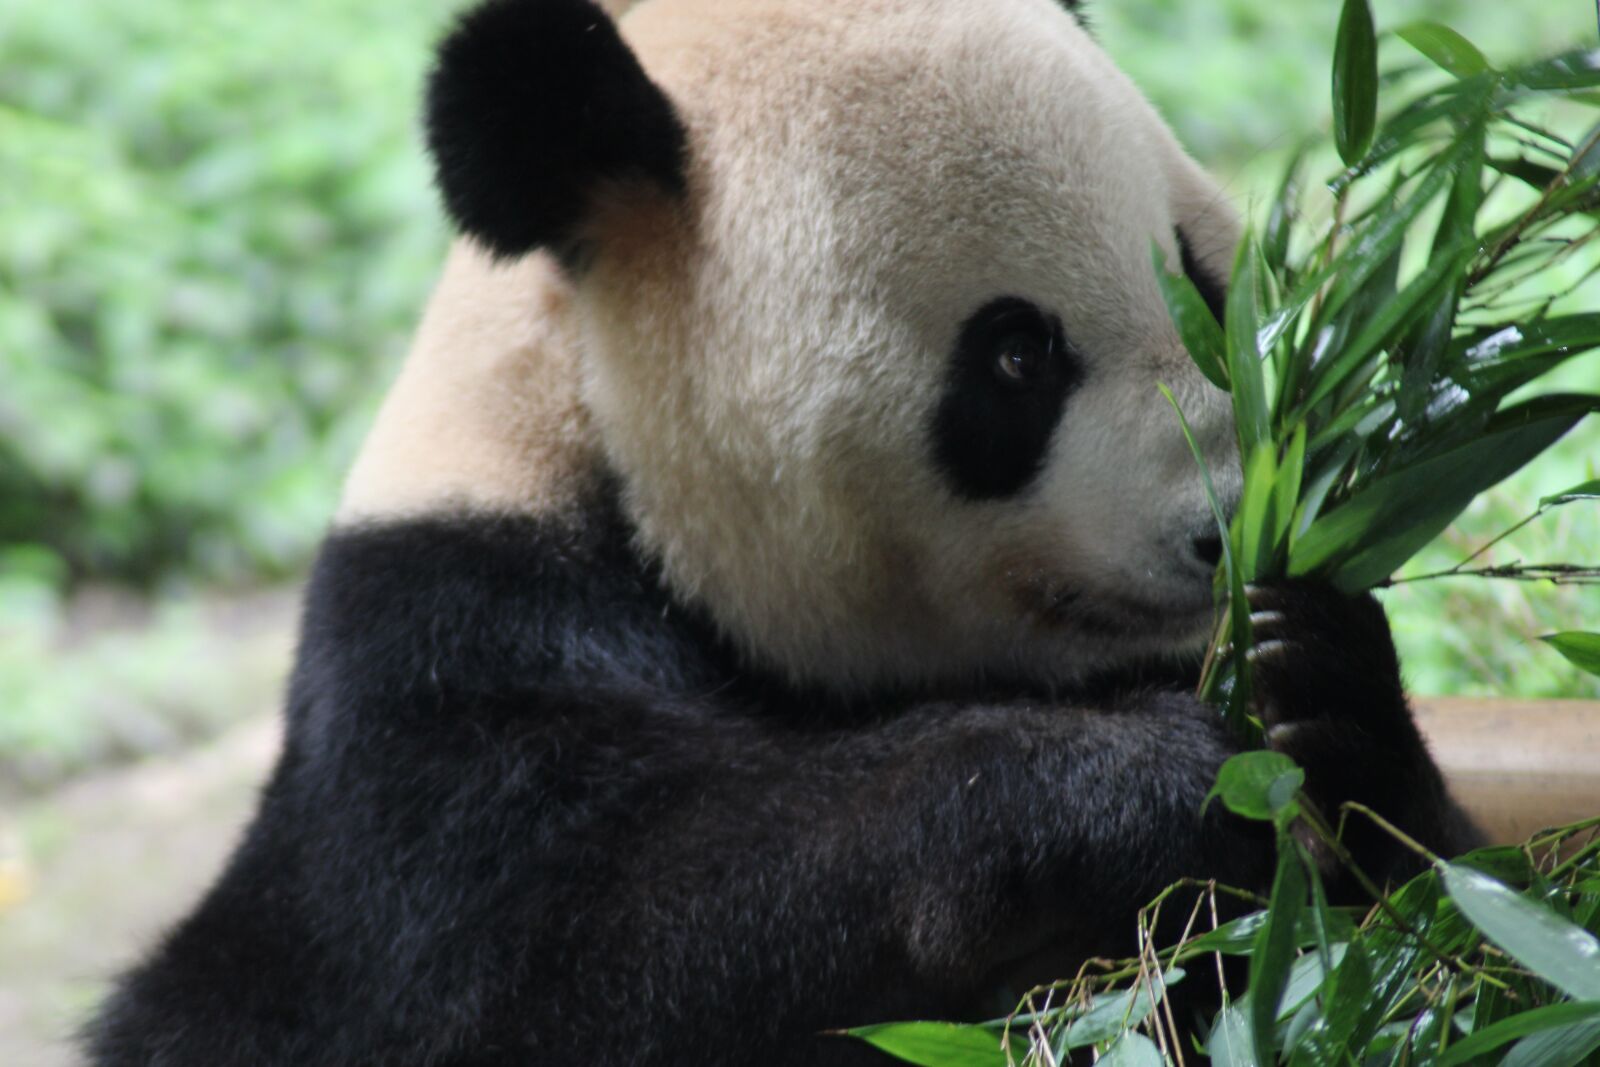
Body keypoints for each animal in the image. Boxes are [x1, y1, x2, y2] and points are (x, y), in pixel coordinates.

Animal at [87, 0, 1480, 1064]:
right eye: (1014, 355)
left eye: (1200, 279)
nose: (1226, 528)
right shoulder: (439, 670)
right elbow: (568, 952)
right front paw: (1121, 784)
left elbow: (1438, 930)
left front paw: (1319, 685)